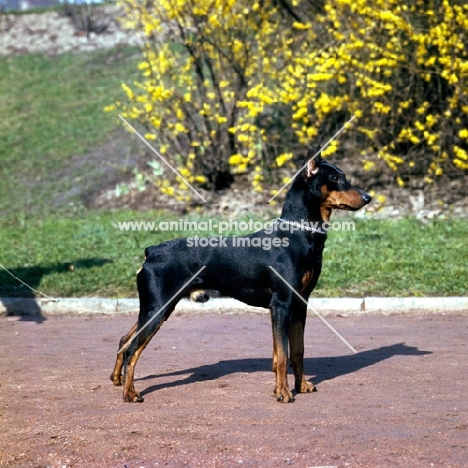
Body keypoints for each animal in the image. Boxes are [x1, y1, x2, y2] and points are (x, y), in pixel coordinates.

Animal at [111, 149, 372, 402]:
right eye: (335, 178)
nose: (368, 198)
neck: (297, 236)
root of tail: (151, 252)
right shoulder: (282, 305)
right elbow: (283, 355)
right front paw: (283, 393)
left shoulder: (300, 304)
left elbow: (296, 352)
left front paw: (301, 386)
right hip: (158, 308)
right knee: (132, 349)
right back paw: (129, 393)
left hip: (155, 308)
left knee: (124, 340)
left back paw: (116, 379)